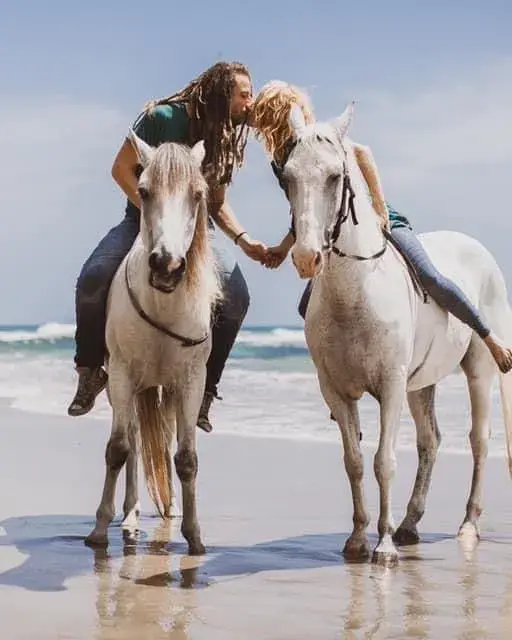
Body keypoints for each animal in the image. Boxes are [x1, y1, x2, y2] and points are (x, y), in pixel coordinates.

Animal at [85, 131, 222, 555]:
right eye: (143, 191)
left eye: (198, 194)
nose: (167, 266)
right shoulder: (123, 377)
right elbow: (117, 450)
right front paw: (99, 530)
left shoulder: (190, 383)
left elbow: (187, 457)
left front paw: (195, 538)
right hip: (123, 389)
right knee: (130, 443)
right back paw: (128, 516)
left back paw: (171, 511)